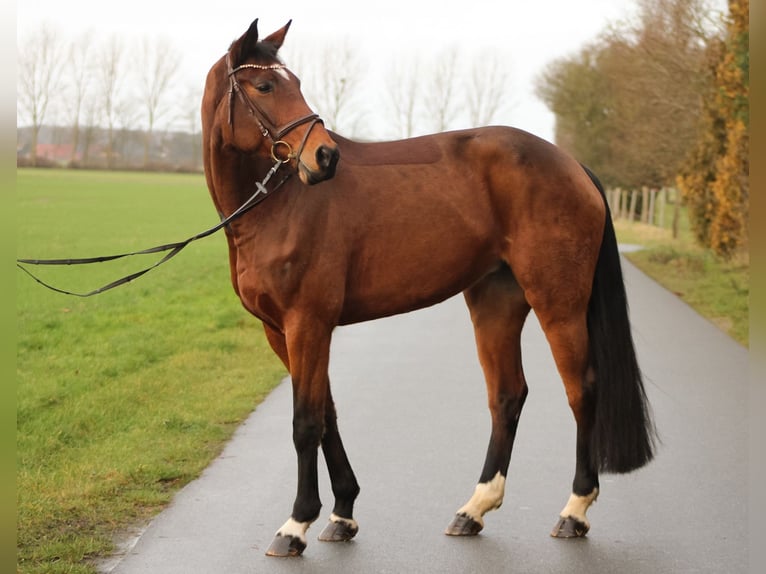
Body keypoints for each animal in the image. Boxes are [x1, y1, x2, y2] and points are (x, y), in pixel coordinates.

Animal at [201, 18, 656, 560]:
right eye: (265, 86)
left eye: (294, 84)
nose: (325, 156)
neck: (279, 207)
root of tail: (571, 164)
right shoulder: (281, 330)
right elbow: (327, 413)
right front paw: (343, 513)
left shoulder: (307, 323)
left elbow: (306, 422)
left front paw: (296, 524)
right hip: (495, 302)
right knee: (507, 394)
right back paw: (474, 509)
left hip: (558, 303)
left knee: (581, 389)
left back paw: (574, 511)